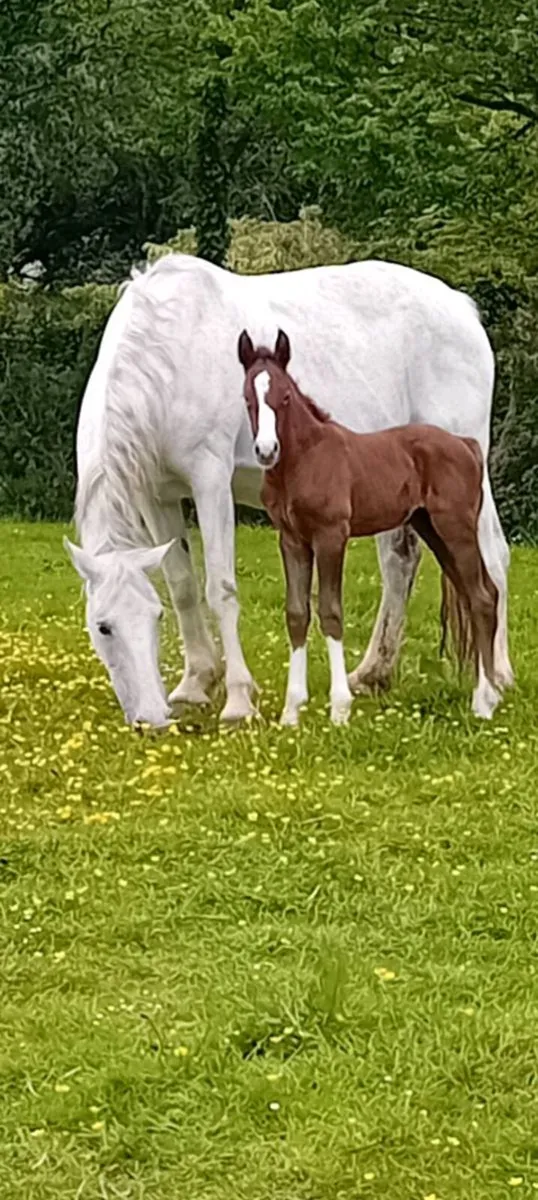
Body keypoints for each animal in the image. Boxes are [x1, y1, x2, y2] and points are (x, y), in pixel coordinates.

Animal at [238, 328, 502, 726]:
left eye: (284, 396)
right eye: (248, 397)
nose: (266, 450)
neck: (305, 459)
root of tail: (466, 445)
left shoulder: (331, 535)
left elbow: (330, 612)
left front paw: (339, 709)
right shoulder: (292, 540)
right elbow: (297, 614)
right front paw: (291, 712)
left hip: (455, 527)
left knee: (483, 598)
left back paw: (484, 702)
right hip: (433, 530)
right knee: (477, 595)